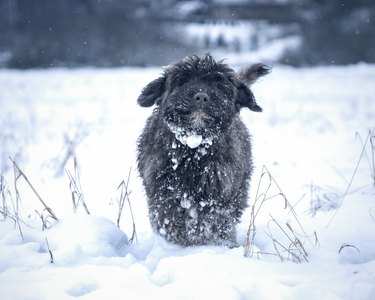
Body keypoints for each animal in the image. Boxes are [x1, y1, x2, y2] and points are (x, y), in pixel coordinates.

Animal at [138, 54, 270, 246]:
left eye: (219, 85)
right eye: (182, 80)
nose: (201, 96)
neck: (193, 148)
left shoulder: (218, 191)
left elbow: (209, 221)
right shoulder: (161, 188)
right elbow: (169, 217)